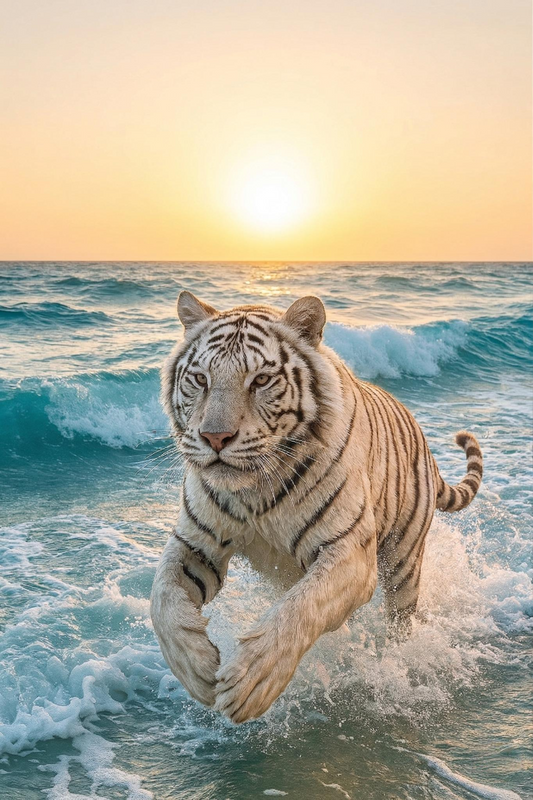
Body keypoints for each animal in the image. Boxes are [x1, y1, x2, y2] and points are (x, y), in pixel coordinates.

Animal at [150, 290, 483, 724]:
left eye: (261, 380)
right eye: (201, 379)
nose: (215, 437)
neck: (254, 490)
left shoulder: (349, 551)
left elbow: (300, 608)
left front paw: (252, 680)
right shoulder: (196, 544)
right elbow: (162, 600)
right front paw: (197, 668)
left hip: (404, 562)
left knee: (400, 620)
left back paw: (398, 663)